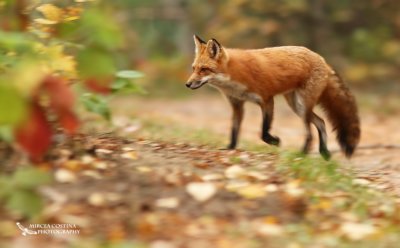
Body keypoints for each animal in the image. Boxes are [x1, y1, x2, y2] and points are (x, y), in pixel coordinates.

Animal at [186, 35, 360, 160]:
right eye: (194, 68)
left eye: (204, 69)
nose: (187, 84)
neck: (234, 76)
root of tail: (321, 58)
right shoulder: (237, 105)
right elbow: (234, 130)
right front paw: (230, 148)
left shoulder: (267, 100)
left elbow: (263, 132)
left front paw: (275, 141)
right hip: (296, 105)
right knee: (321, 122)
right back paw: (324, 152)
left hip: (302, 105)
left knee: (310, 132)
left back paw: (302, 153)